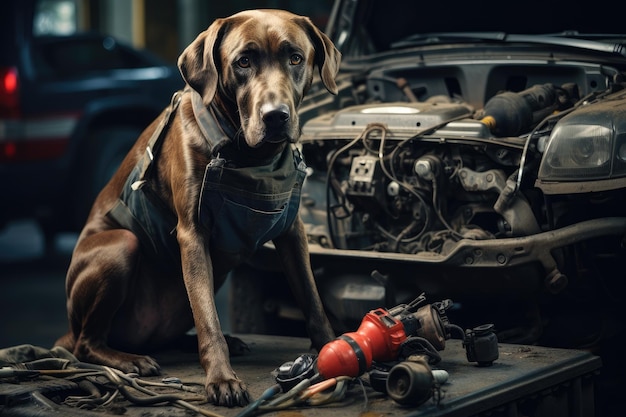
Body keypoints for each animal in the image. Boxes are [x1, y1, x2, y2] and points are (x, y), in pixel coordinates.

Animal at [56, 9, 338, 406]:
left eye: (296, 58)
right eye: (243, 61)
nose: (276, 116)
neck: (247, 156)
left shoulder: (292, 234)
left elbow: (312, 300)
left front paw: (334, 348)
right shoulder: (192, 235)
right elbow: (208, 319)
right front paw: (221, 379)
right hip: (121, 246)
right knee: (86, 343)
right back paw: (129, 360)